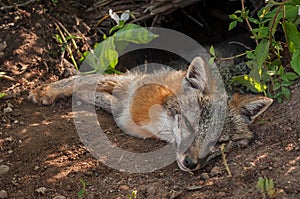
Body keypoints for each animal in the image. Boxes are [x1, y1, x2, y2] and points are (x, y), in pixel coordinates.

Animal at [28, 56, 272, 172]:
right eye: (190, 124)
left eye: (219, 142)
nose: (191, 163)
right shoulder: (130, 84)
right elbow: (87, 80)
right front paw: (49, 90)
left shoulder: (124, 111)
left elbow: (102, 98)